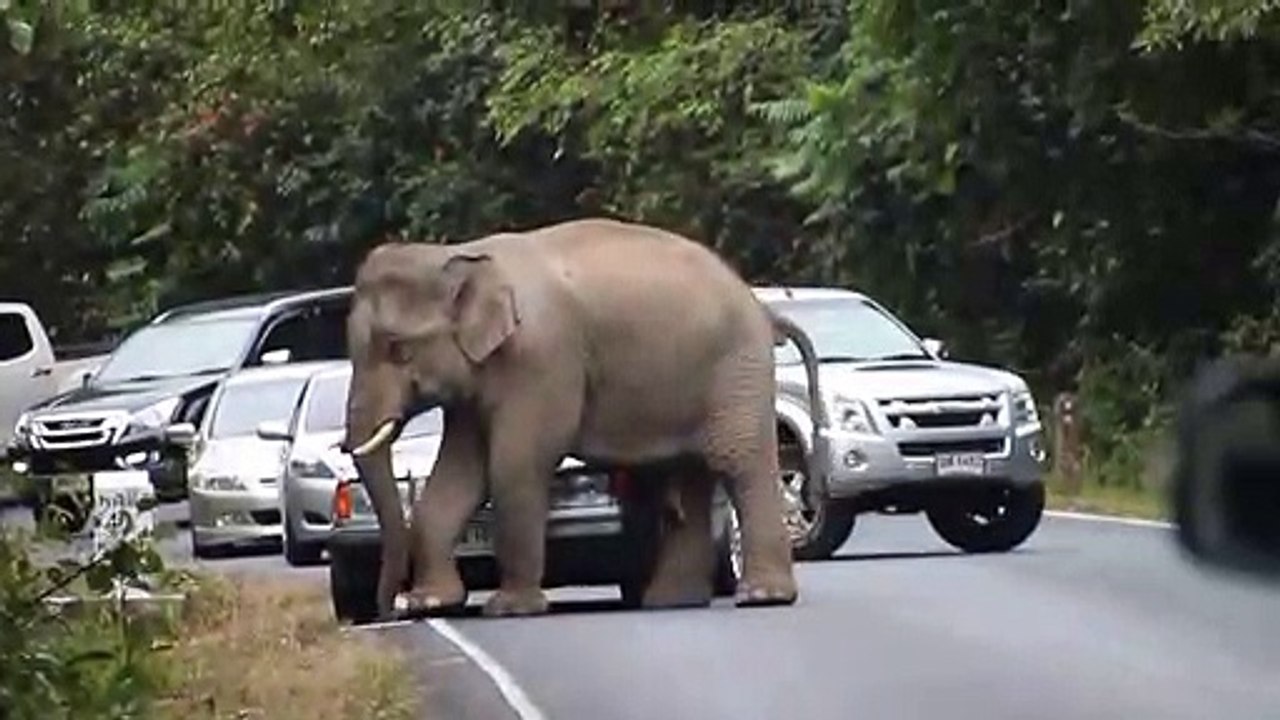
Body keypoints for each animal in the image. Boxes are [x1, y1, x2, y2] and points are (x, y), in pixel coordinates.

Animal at [340, 217, 828, 619]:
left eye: (398, 349)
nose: (391, 609)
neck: (459, 254)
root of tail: (764, 310)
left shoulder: (543, 358)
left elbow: (516, 463)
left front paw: (510, 609)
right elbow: (458, 473)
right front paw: (432, 602)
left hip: (736, 369)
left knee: (736, 459)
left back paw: (762, 597)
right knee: (684, 476)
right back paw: (670, 601)